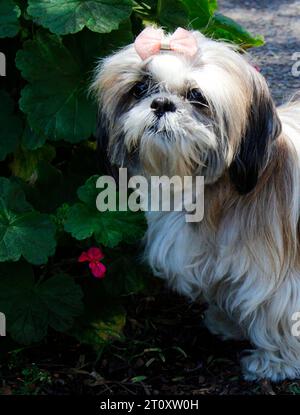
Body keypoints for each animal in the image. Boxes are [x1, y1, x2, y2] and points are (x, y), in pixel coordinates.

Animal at [91, 26, 300, 384]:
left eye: (196, 96)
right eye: (139, 88)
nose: (161, 103)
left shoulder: (276, 271)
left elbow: (276, 311)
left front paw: (276, 362)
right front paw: (226, 323)